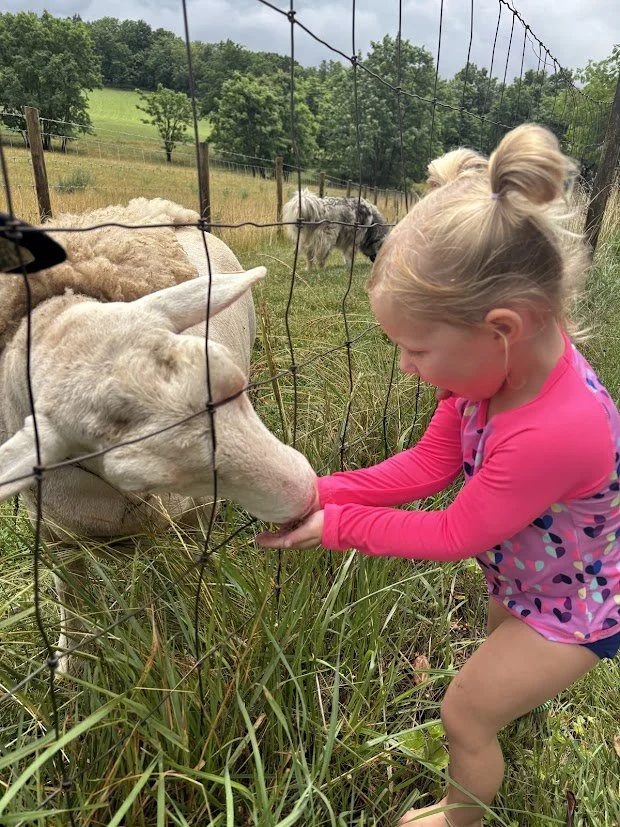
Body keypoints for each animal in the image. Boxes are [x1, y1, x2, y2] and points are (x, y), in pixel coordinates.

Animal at [0, 197, 317, 670]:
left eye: (229, 379)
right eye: (134, 470)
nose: (308, 494)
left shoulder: (190, 519)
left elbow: (188, 582)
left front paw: (194, 635)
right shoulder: (58, 538)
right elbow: (71, 606)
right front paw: (71, 666)